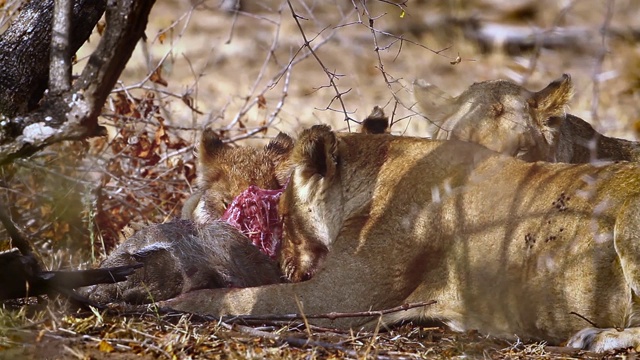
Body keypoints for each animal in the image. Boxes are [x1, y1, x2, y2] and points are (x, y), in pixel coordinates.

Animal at [158, 124, 640, 352]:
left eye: (280, 212)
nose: (284, 266)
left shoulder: (341, 299)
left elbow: (236, 299)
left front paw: (171, 301)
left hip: (628, 225)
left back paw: (596, 337)